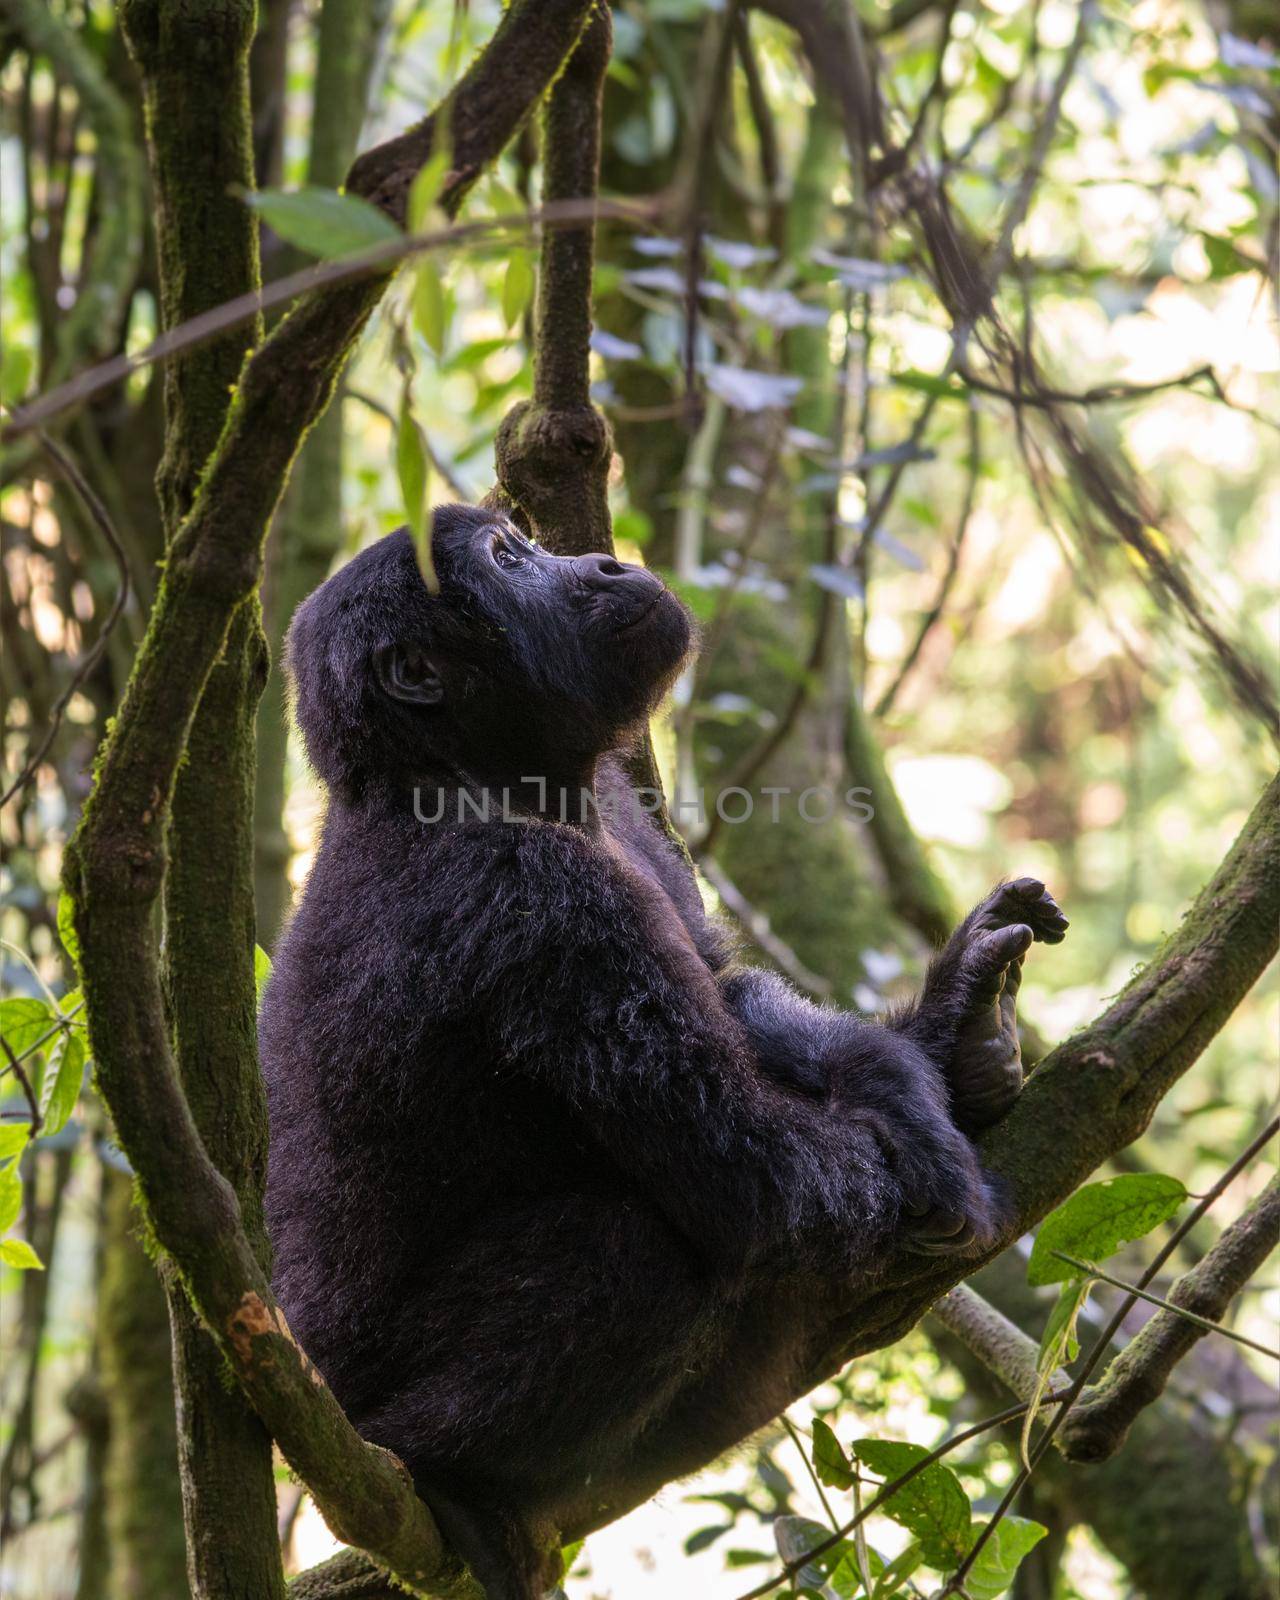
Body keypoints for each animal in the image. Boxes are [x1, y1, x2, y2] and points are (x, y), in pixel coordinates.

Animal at [254, 502, 1062, 1600]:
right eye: (509, 558)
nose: (598, 561)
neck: (462, 776)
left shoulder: (621, 809)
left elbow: (733, 994)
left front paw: (928, 1046)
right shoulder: (536, 902)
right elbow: (753, 1172)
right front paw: (932, 1151)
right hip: (346, 1412)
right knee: (635, 1243)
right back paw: (448, 1477)